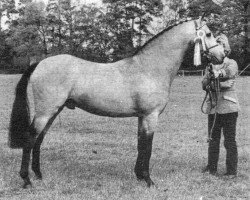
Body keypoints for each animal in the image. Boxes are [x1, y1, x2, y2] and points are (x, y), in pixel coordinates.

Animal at [8, 18, 226, 188]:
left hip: (53, 111)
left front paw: (139, 176)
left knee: (39, 140)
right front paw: (149, 181)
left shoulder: (142, 117)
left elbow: (140, 144)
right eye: (208, 34)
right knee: (30, 138)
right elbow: (148, 147)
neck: (149, 68)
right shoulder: (151, 116)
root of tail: (40, 63)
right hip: (46, 112)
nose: (221, 55)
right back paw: (27, 180)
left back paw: (39, 175)